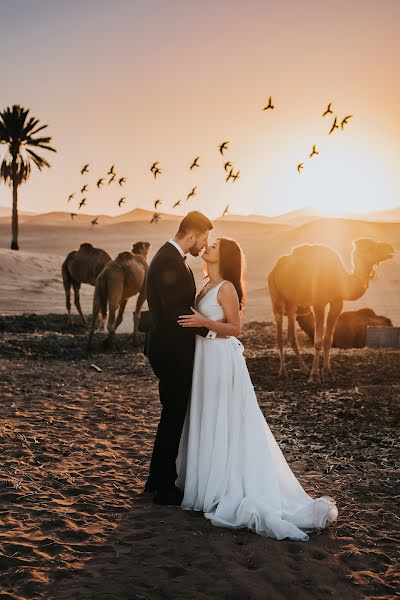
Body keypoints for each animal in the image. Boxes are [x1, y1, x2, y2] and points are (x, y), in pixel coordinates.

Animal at [268, 237, 396, 382]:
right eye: (369, 246)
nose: (390, 248)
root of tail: (275, 269)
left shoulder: (337, 303)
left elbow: (328, 339)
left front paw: (328, 372)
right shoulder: (318, 303)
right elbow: (318, 341)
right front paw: (315, 376)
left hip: (292, 303)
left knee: (292, 334)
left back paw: (304, 369)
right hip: (276, 296)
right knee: (279, 335)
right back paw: (283, 372)